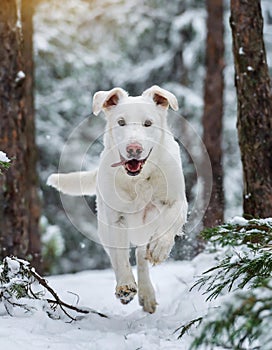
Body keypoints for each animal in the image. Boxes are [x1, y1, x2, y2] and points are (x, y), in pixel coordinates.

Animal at [47, 86, 187, 314]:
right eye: (121, 122)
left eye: (148, 123)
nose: (134, 149)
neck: (138, 180)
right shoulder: (116, 219)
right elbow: (120, 258)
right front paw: (125, 285)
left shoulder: (178, 201)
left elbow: (170, 221)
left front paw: (159, 248)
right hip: (104, 227)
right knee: (116, 254)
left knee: (141, 253)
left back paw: (147, 293)